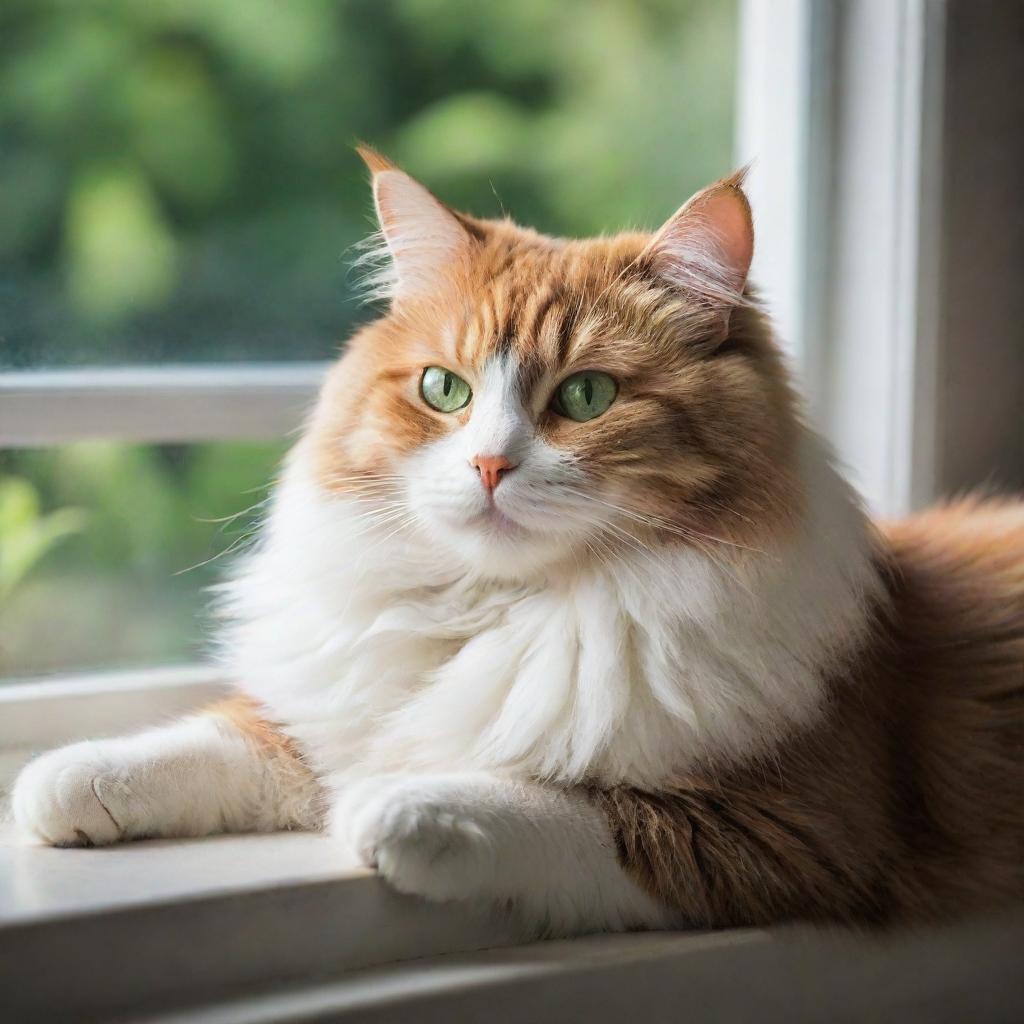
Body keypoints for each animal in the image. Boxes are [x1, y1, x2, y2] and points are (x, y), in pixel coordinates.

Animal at [9, 148, 1024, 937]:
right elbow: (227, 739)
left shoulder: (788, 828)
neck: (492, 609)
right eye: (444, 389)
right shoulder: (332, 712)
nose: (490, 464)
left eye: (586, 396)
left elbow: (562, 806)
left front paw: (406, 805)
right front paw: (69, 779)